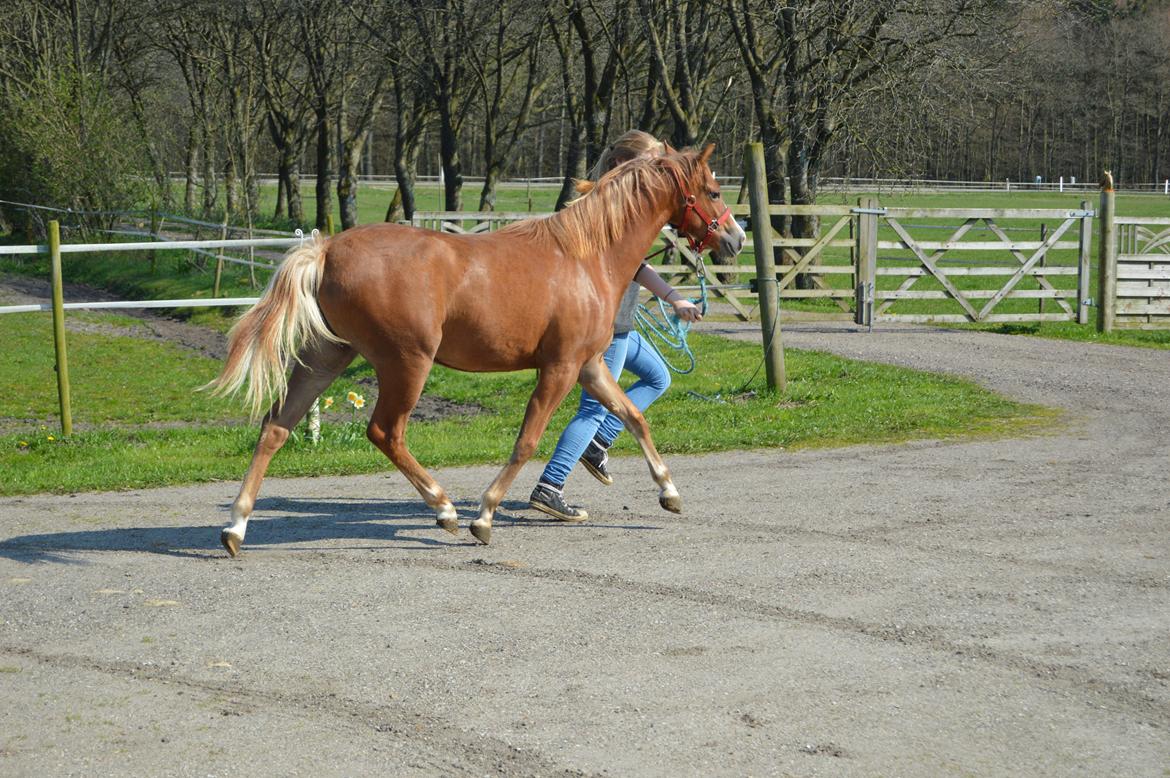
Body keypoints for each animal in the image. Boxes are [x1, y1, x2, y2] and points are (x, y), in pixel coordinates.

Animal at [208, 144, 745, 555]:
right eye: (714, 191)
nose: (736, 239)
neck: (585, 256)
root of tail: (326, 250)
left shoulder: (589, 366)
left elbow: (634, 418)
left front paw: (670, 492)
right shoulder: (559, 368)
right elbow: (527, 440)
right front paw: (483, 516)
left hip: (326, 357)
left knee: (276, 427)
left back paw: (236, 526)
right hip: (406, 364)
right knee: (385, 432)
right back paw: (444, 509)